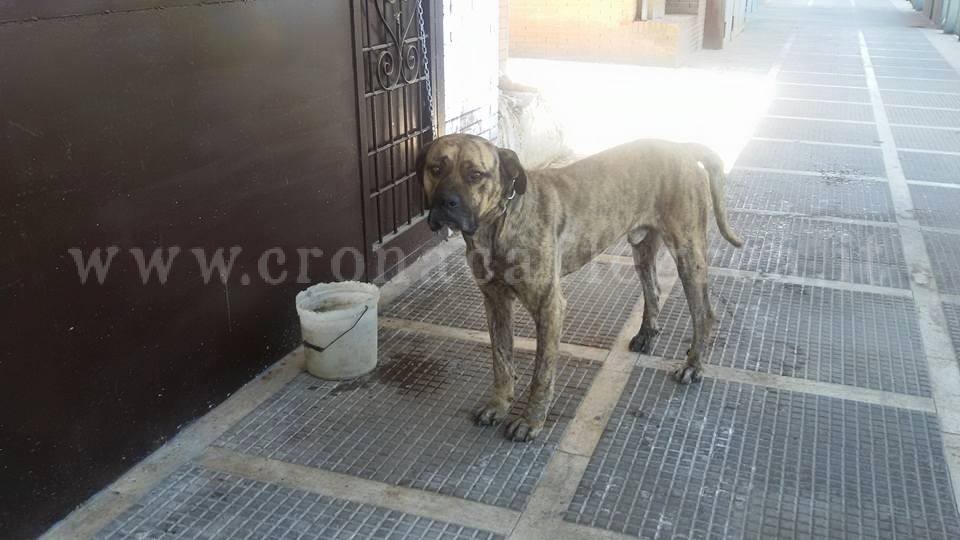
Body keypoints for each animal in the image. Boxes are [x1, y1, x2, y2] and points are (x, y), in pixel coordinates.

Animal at [418, 133, 744, 440]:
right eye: (435, 169)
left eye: (475, 175)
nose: (446, 203)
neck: (500, 223)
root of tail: (683, 147)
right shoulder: (495, 302)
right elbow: (501, 361)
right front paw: (498, 405)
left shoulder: (549, 306)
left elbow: (541, 374)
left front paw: (530, 422)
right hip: (643, 249)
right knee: (653, 290)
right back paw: (646, 335)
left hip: (688, 253)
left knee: (704, 313)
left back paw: (693, 366)